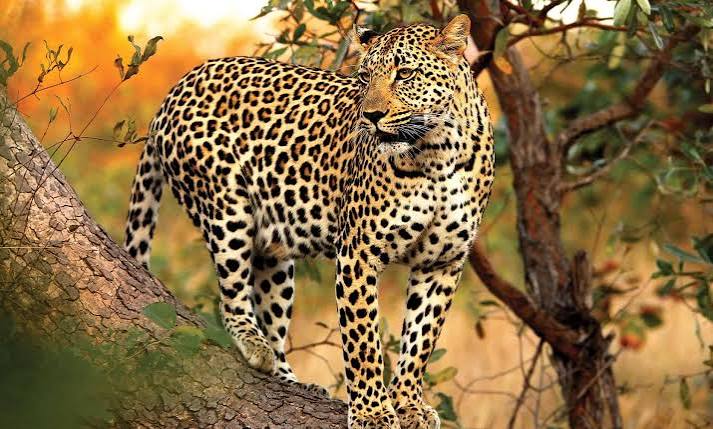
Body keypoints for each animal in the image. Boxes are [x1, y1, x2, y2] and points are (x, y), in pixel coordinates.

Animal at [123, 14, 494, 429]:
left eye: (405, 73)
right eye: (365, 77)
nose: (371, 116)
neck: (438, 152)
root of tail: (177, 87)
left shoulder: (442, 262)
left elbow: (421, 340)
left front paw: (409, 404)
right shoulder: (358, 254)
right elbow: (363, 341)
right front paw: (373, 413)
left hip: (273, 250)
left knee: (270, 307)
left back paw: (290, 378)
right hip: (224, 206)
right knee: (232, 296)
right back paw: (255, 346)